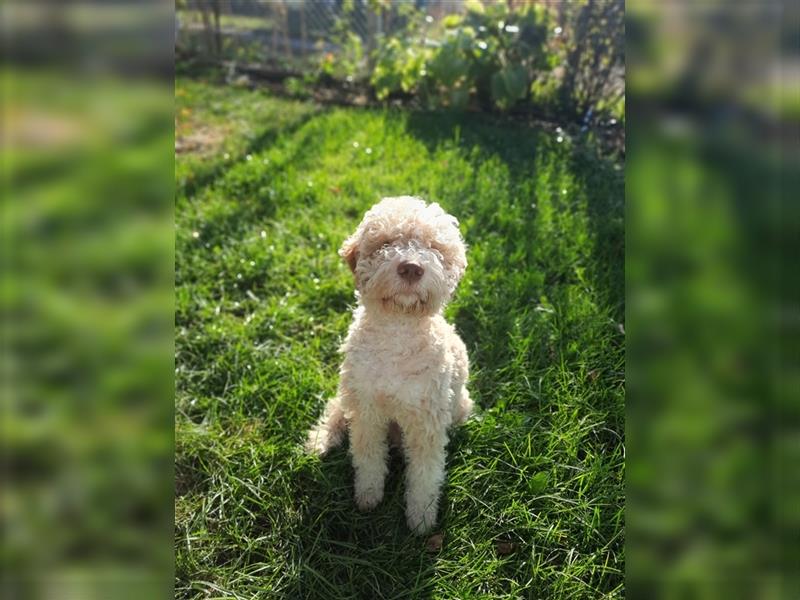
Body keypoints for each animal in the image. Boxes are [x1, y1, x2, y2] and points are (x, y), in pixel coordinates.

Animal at [304, 196, 468, 536]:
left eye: (433, 246)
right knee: (336, 410)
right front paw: (368, 497)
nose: (411, 268)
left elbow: (425, 474)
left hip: (460, 408)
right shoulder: (366, 409)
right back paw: (320, 440)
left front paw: (421, 520)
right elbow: (367, 457)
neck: (397, 335)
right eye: (386, 243)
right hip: (349, 391)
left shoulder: (427, 422)